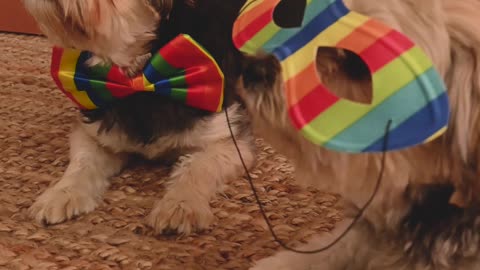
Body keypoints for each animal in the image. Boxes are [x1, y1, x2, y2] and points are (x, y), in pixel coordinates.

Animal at [23, 0, 256, 235]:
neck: (141, 78)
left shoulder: (226, 140)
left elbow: (196, 169)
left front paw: (180, 205)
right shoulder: (94, 133)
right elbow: (82, 163)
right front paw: (61, 193)